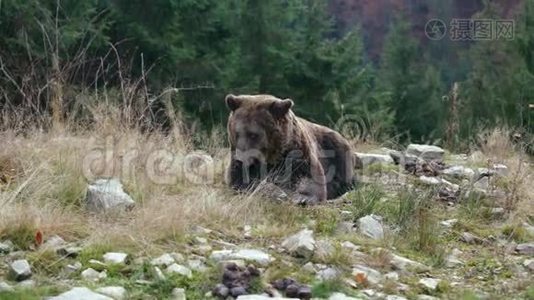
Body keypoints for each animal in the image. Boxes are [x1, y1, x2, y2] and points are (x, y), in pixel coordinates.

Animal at [226, 94, 356, 204]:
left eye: (253, 135)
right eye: (237, 133)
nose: (240, 159)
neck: (273, 156)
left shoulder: (298, 152)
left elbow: (311, 178)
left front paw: (303, 198)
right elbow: (242, 181)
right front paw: (276, 192)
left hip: (335, 146)